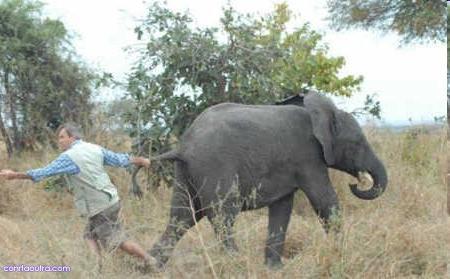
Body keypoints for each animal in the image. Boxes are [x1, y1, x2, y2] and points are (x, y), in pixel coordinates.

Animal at [131, 91, 386, 270]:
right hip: (214, 166)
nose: (356, 183)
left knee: (182, 217)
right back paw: (236, 264)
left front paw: (275, 268)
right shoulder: (308, 157)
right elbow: (324, 200)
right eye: (357, 144)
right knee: (222, 216)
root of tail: (182, 147)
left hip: (186, 173)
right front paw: (341, 253)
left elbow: (282, 208)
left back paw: (150, 268)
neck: (322, 113)